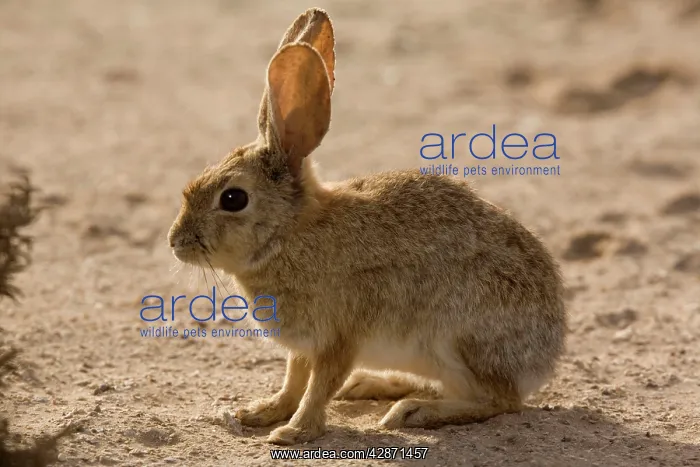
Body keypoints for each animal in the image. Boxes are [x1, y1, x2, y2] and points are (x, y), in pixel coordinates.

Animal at [167, 7, 568, 446]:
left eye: (233, 199)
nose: (176, 242)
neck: (289, 233)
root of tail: (545, 356)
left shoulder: (340, 336)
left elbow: (319, 385)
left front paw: (293, 432)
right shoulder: (303, 344)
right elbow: (294, 379)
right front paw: (262, 412)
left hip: (458, 340)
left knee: (500, 400)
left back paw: (414, 412)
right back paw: (372, 385)